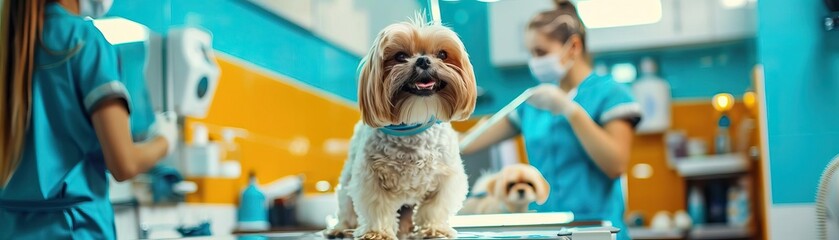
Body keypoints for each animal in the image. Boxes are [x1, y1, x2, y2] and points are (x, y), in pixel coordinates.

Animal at [324, 17, 476, 239]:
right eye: (400, 56)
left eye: (442, 54)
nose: (423, 61)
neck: (413, 124)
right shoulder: (370, 179)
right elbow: (377, 207)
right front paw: (377, 232)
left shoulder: (446, 177)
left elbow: (434, 207)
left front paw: (434, 229)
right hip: (347, 181)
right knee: (347, 207)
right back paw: (341, 228)